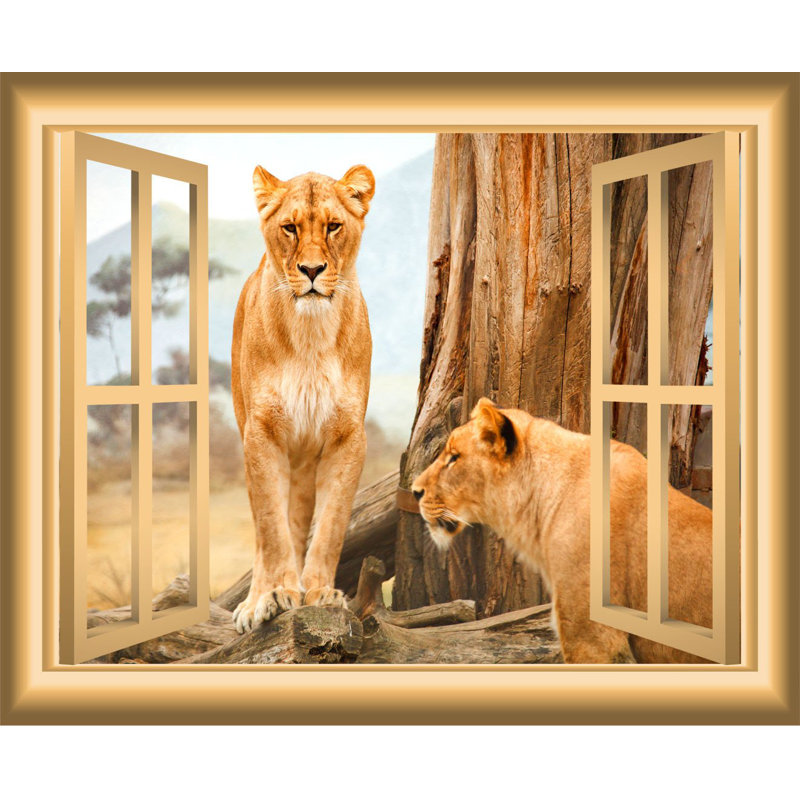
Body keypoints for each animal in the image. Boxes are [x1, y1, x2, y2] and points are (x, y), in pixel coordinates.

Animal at [230, 164, 374, 634]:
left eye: (333, 226)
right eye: (290, 228)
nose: (312, 270)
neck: (311, 333)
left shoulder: (348, 437)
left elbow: (330, 525)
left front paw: (321, 593)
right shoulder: (262, 433)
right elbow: (272, 530)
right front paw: (276, 594)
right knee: (264, 528)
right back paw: (256, 601)